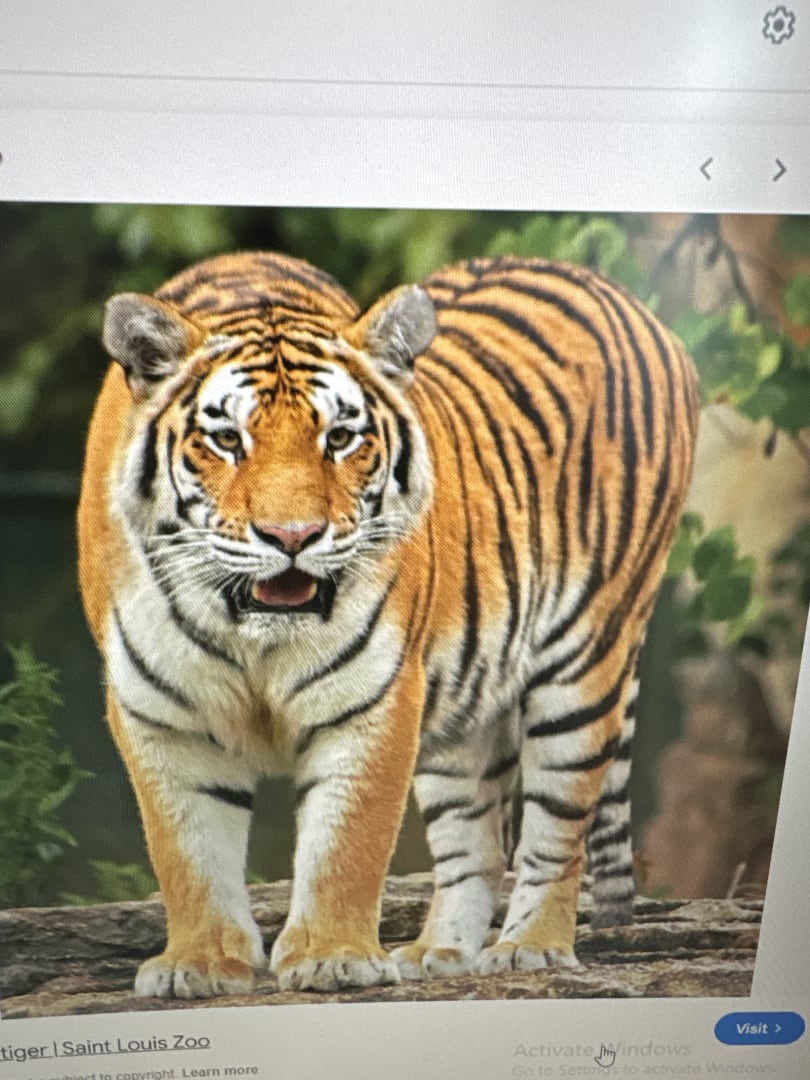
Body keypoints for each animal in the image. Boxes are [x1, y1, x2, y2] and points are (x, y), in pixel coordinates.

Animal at [77, 250, 699, 999]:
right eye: (226, 440)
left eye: (340, 438)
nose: (293, 536)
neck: (253, 635)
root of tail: (628, 300)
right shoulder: (161, 713)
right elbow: (187, 851)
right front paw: (200, 963)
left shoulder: (373, 700)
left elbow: (347, 841)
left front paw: (332, 957)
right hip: (464, 713)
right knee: (476, 843)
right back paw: (440, 952)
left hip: (585, 666)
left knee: (556, 831)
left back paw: (530, 948)